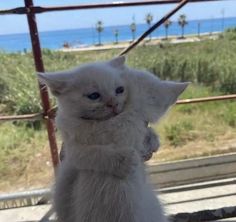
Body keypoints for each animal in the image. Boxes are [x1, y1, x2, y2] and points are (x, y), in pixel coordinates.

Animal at [37, 56, 188, 222]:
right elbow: (91, 154)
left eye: (119, 90)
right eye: (94, 96)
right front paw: (125, 161)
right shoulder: (72, 148)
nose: (113, 104)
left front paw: (151, 139)